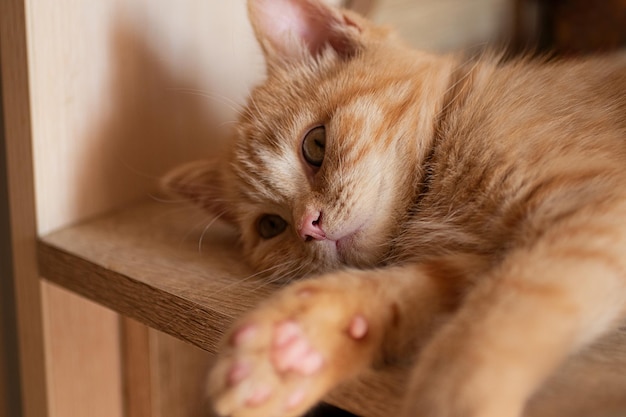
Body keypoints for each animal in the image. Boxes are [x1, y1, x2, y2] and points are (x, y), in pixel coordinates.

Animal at [165, 0, 624, 416]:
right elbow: (414, 290)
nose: (309, 227)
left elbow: (497, 319)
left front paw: (452, 400)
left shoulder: (591, 210)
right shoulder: (477, 261)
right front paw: (295, 344)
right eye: (271, 226)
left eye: (314, 144)